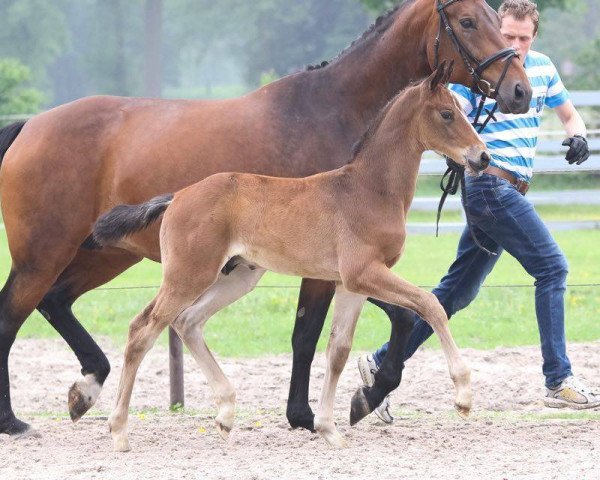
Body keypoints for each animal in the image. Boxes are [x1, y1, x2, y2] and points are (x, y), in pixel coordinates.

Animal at [92, 63, 488, 450]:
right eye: (447, 114)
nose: (482, 156)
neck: (368, 190)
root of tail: (177, 196)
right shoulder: (364, 273)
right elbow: (429, 304)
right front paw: (464, 395)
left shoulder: (350, 284)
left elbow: (339, 350)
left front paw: (329, 429)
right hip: (188, 275)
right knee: (142, 331)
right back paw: (119, 431)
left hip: (237, 277)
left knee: (187, 322)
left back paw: (226, 415)